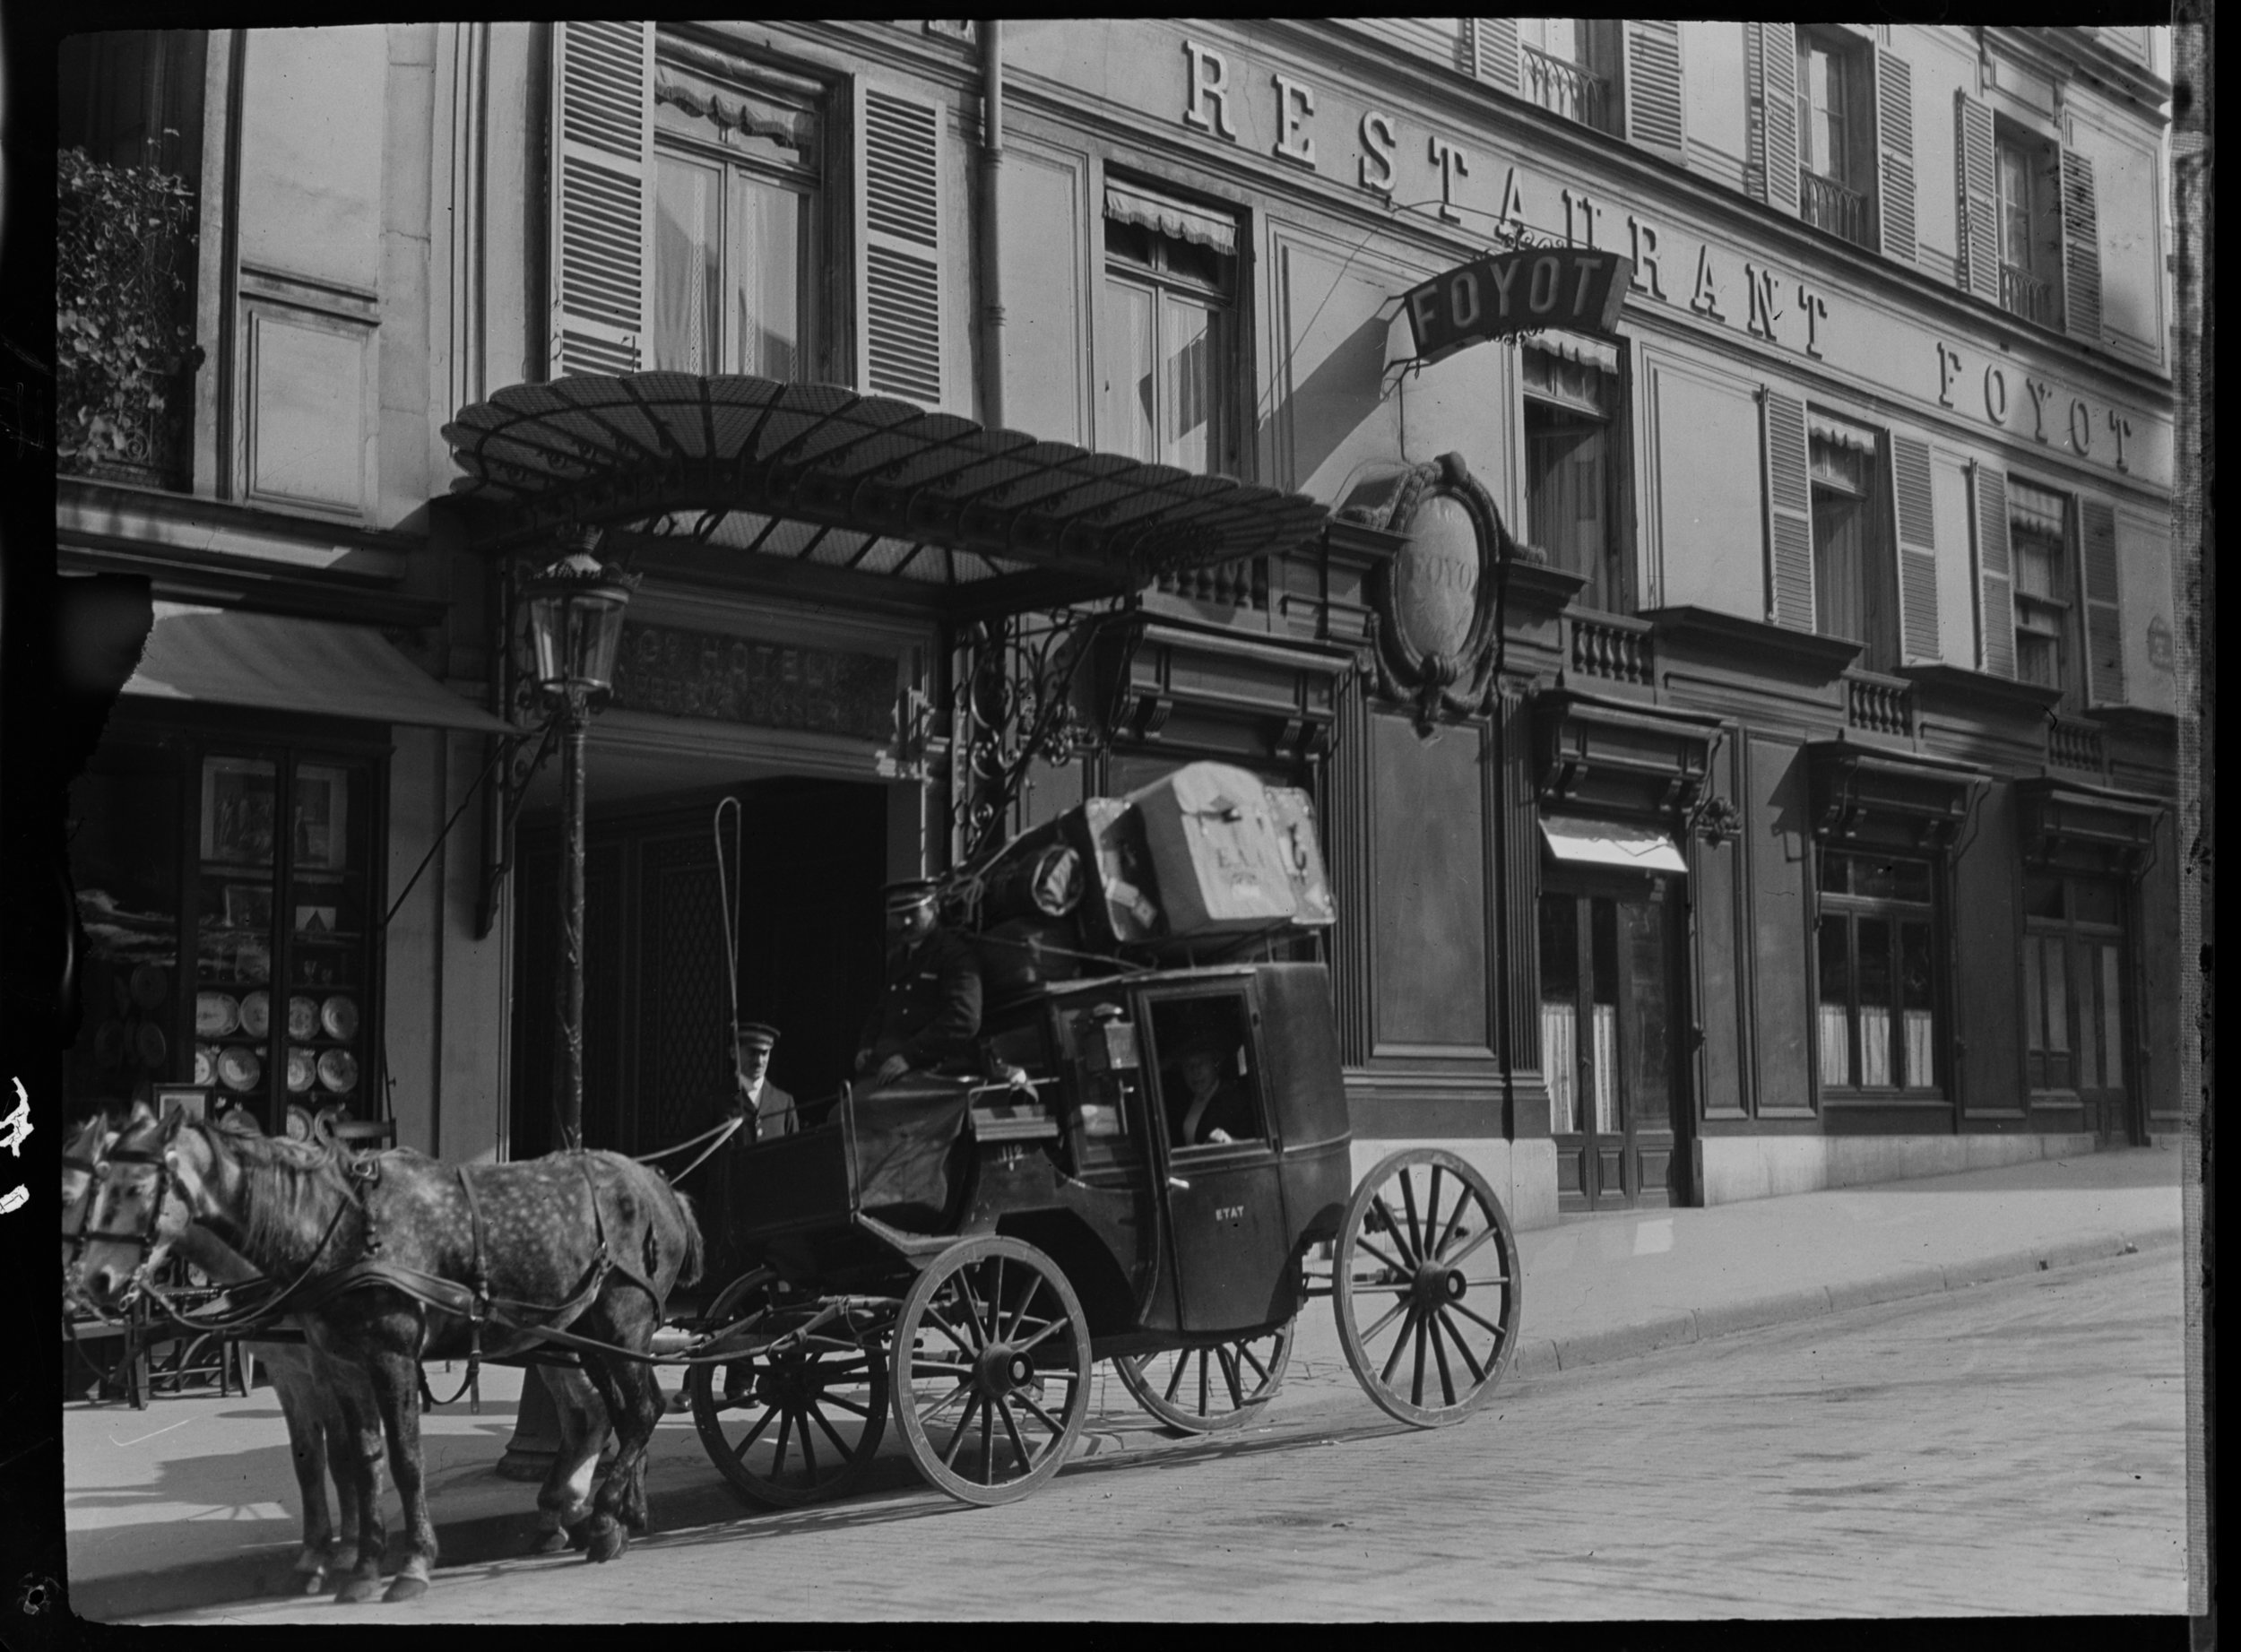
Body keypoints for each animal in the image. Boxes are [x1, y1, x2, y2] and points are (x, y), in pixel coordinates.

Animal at [74, 1107, 695, 1596]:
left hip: (622, 1326)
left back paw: (607, 1517)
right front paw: (357, 1563)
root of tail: (658, 1183)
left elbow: (399, 1459)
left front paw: (405, 1562)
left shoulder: (384, 1357)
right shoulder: (330, 1364)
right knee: (611, 1413)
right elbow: (352, 1459)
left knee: (639, 1411)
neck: (334, 1229)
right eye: (98, 1189)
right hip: (583, 1335)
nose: (95, 1281)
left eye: (134, 1190)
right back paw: (602, 1514)